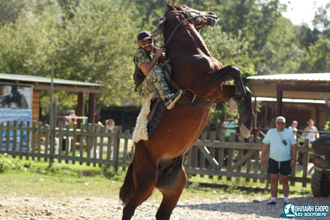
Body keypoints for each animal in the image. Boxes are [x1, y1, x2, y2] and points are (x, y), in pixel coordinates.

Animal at [120, 0, 254, 219]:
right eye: (186, 7)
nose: (212, 14)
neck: (191, 53)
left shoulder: (216, 92)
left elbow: (245, 88)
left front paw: (246, 123)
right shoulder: (206, 85)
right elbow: (234, 70)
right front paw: (238, 97)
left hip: (175, 188)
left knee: (161, 214)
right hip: (146, 183)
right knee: (128, 208)